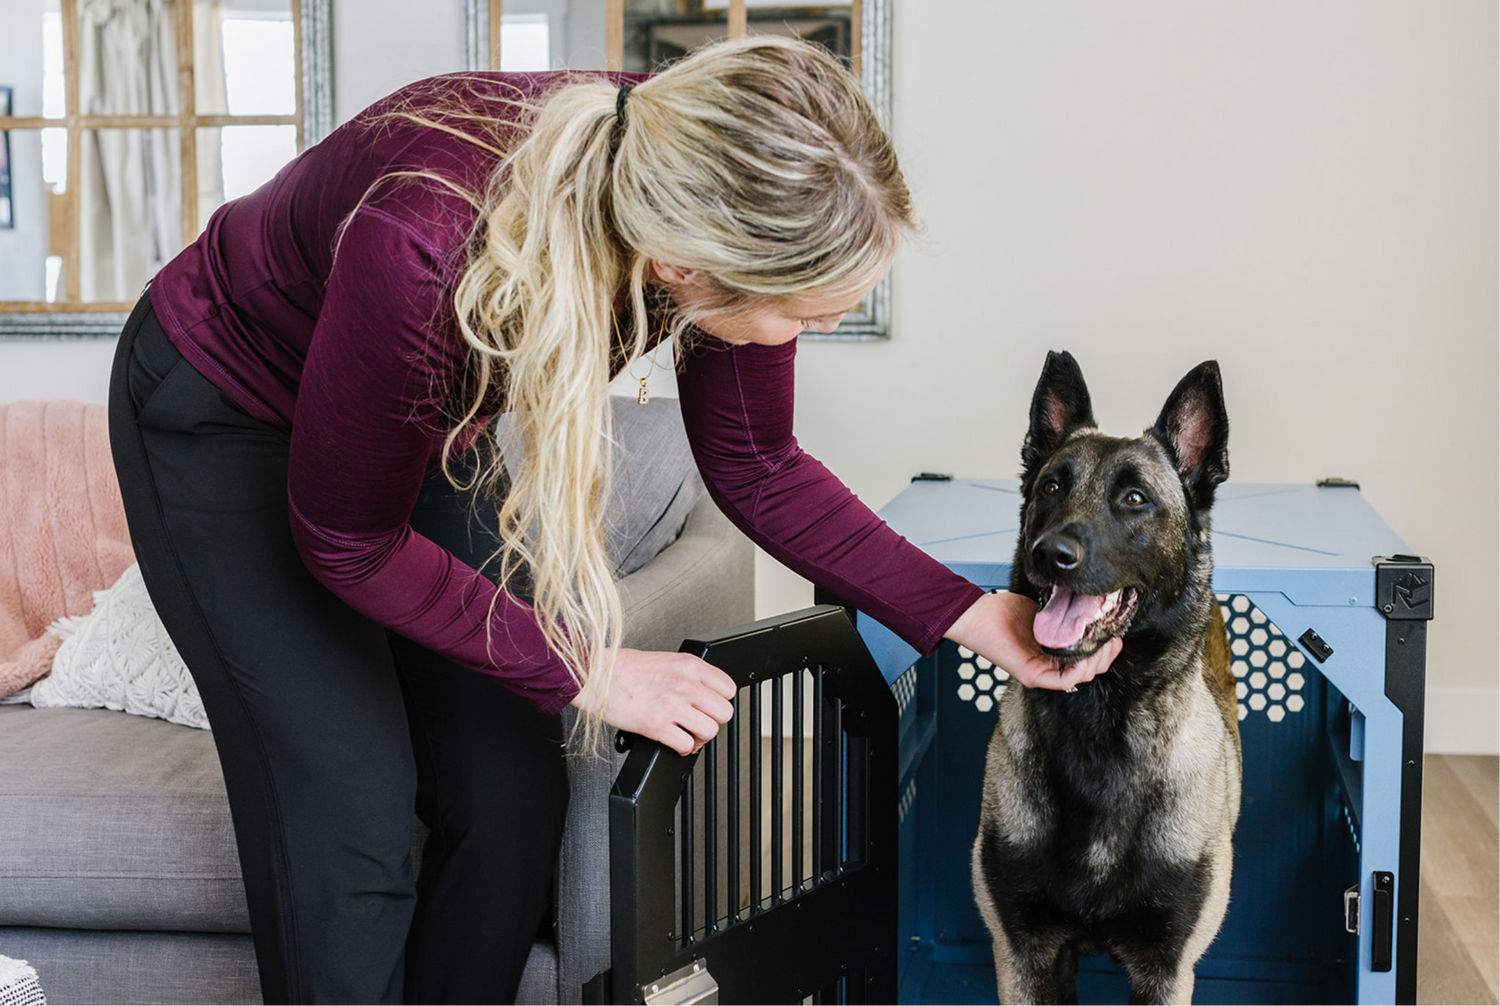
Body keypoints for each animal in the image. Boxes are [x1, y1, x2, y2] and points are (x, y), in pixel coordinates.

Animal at [972, 353, 1242, 1006]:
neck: (1100, 715)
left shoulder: (1167, 971)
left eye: (1135, 498)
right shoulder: (1024, 959)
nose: (1050, 554)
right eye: (1051, 486)